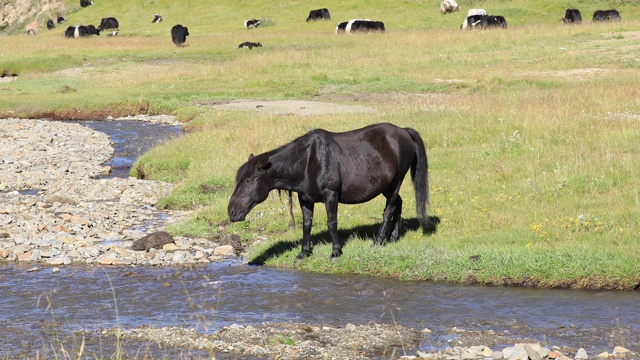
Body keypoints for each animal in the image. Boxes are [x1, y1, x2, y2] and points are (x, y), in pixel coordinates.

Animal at [229, 123, 436, 262]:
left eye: (249, 180)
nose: (231, 212)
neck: (307, 162)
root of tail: (403, 131)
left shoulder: (331, 195)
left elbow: (331, 223)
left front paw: (335, 252)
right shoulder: (304, 198)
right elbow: (306, 224)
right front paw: (303, 253)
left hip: (396, 182)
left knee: (389, 210)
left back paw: (378, 242)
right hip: (386, 186)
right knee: (398, 204)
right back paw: (393, 237)